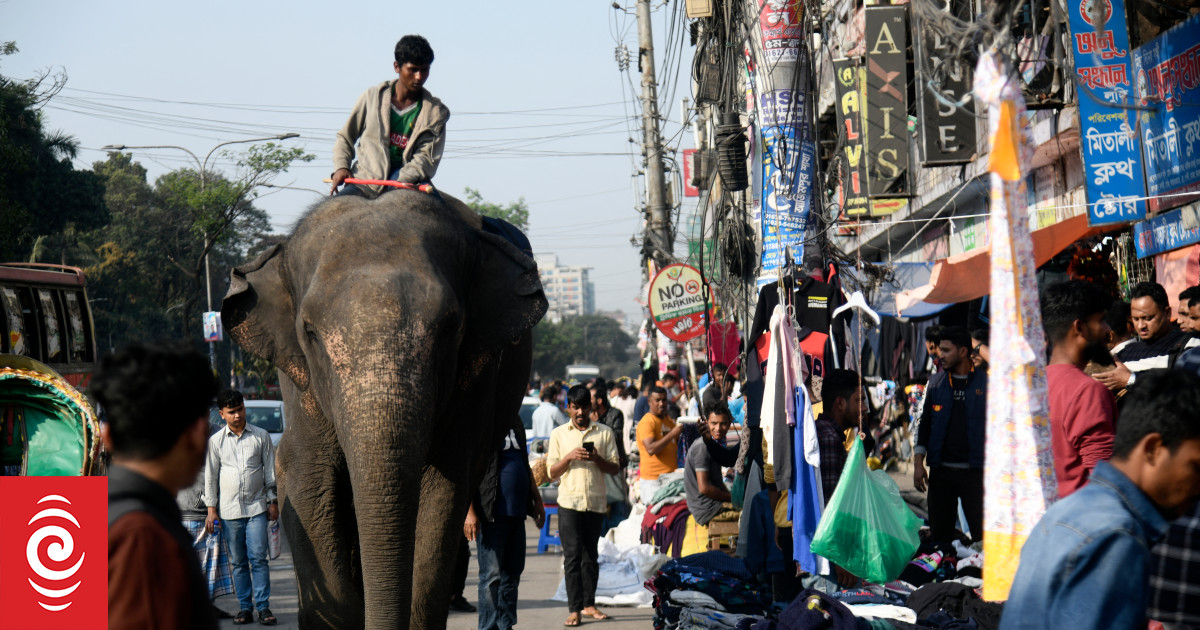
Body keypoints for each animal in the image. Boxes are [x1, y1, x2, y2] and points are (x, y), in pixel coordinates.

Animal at [220, 189, 547, 629]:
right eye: (310, 332)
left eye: (451, 327)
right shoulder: (299, 387)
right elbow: (305, 478)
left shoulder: (472, 384)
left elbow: (442, 492)